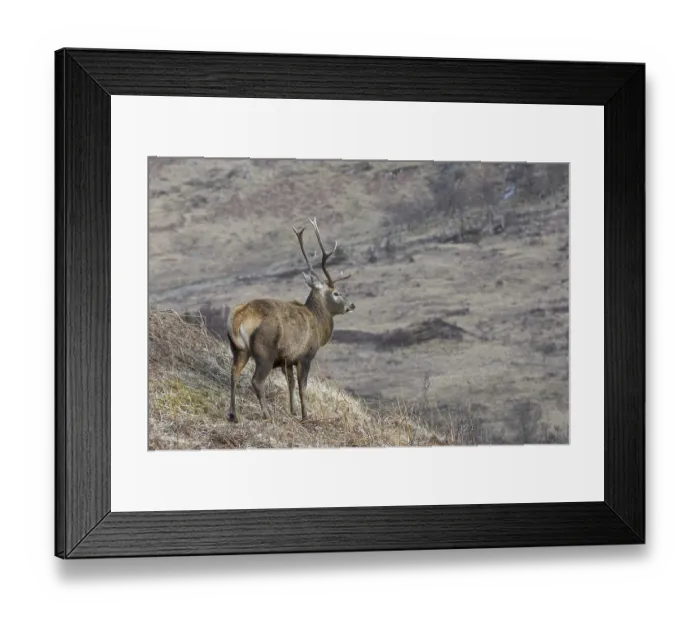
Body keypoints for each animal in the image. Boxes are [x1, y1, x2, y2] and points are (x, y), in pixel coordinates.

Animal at [226, 218, 355, 423]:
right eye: (336, 292)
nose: (351, 305)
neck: (319, 324)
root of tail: (239, 317)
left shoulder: (287, 360)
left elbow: (291, 384)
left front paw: (293, 411)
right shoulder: (305, 355)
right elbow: (302, 387)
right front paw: (304, 415)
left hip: (239, 350)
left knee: (233, 373)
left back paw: (233, 414)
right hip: (265, 351)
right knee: (256, 380)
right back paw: (267, 414)